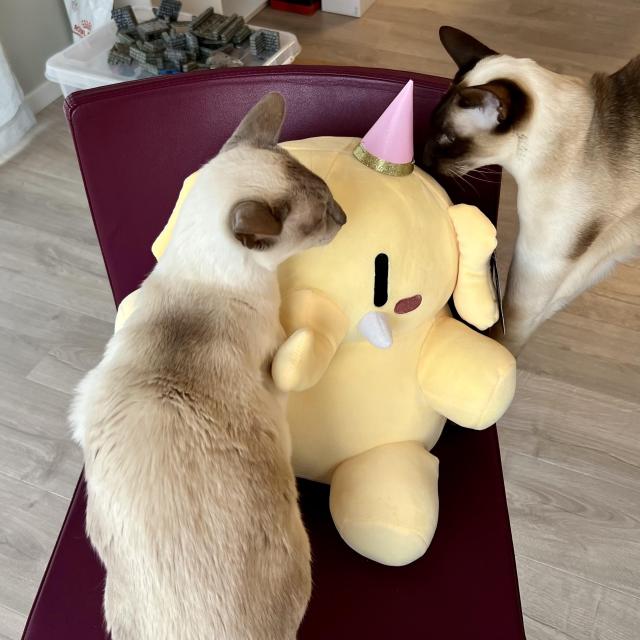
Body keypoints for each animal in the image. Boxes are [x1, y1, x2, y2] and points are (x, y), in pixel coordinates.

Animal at [71, 94, 344, 640]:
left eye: (329, 198)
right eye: (323, 213)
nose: (345, 216)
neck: (201, 280)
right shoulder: (277, 367)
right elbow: (294, 354)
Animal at [424, 26, 640, 356]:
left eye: (446, 139)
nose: (422, 157)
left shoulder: (541, 262)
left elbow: (507, 332)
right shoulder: (591, 258)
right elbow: (532, 316)